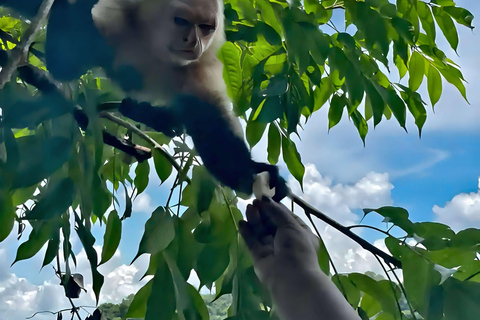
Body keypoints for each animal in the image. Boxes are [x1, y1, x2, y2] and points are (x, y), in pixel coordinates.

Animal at [90, 0, 288, 200]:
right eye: (181, 21)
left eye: (205, 27)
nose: (194, 41)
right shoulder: (111, 23)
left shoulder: (198, 65)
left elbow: (208, 121)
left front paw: (250, 171)